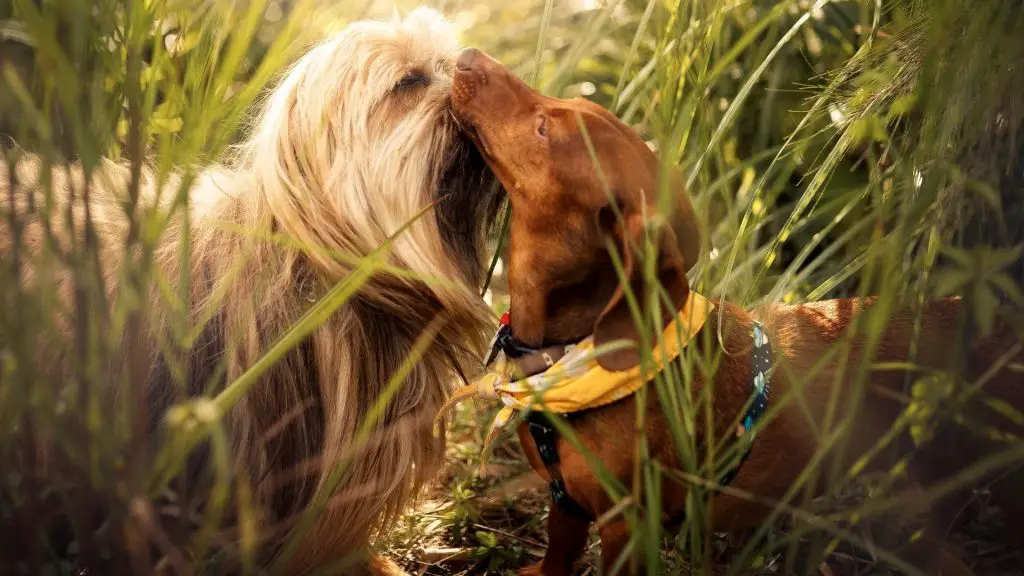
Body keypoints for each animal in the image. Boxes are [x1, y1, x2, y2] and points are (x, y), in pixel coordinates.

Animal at [448, 49, 1024, 573]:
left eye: (544, 128)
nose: (465, 55)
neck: (567, 351)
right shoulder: (564, 504)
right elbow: (557, 553)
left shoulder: (625, 528)